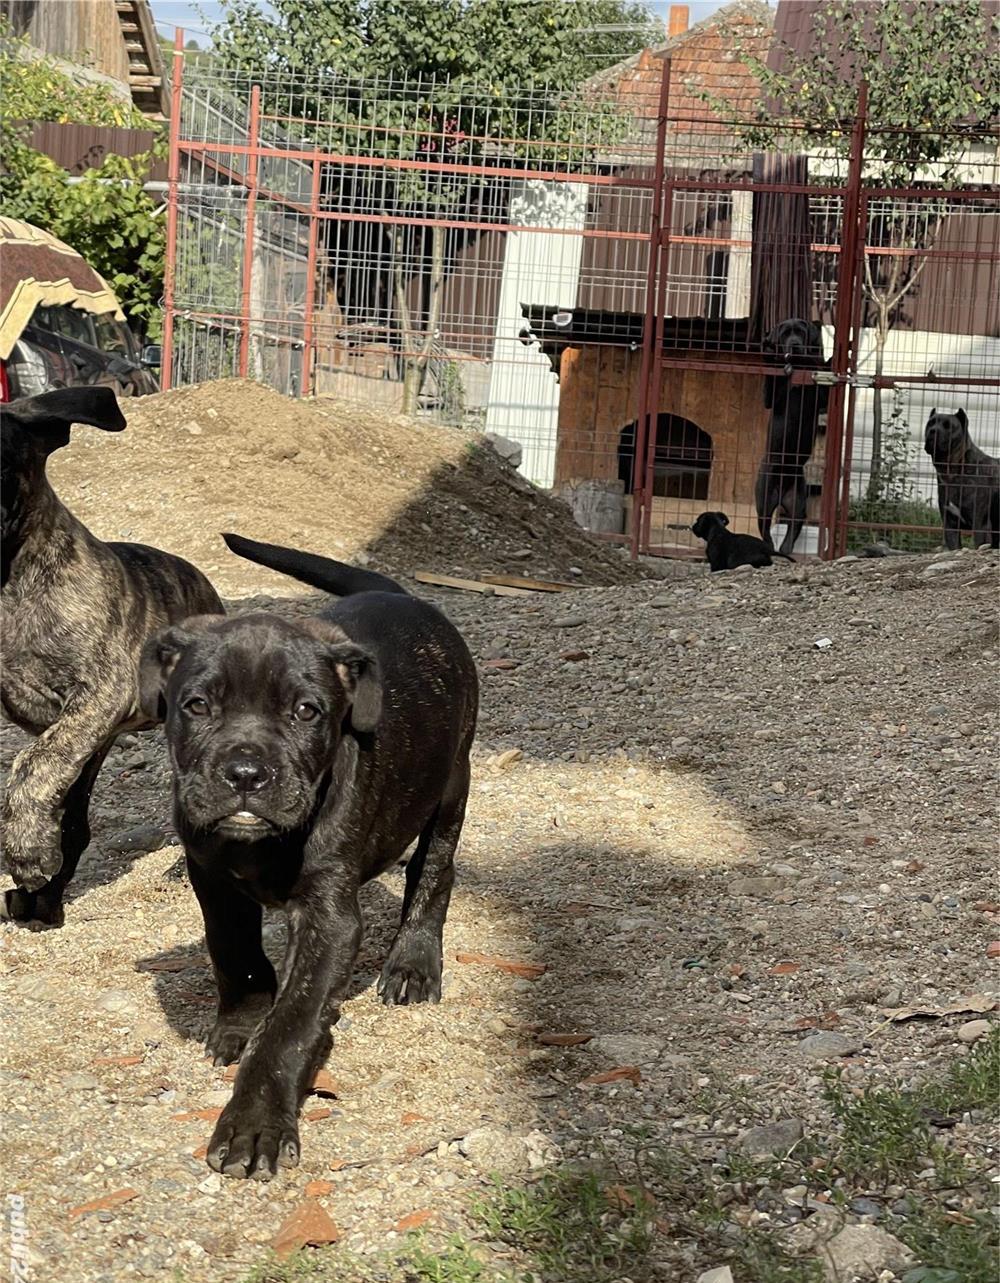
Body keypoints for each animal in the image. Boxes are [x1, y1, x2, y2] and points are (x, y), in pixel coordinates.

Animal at [139, 533, 478, 1179]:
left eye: (306, 711)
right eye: (196, 706)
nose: (246, 773)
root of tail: (402, 596)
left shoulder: (329, 918)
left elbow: (291, 1027)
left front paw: (254, 1124)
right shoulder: (211, 878)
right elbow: (236, 956)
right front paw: (242, 1024)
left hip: (452, 781)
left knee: (434, 870)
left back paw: (413, 964)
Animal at [755, 318, 830, 557]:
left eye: (800, 332)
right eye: (785, 333)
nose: (794, 344)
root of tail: (781, 495)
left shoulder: (821, 399)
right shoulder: (769, 398)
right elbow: (773, 382)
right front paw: (772, 356)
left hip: (799, 502)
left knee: (793, 528)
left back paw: (785, 550)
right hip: (764, 500)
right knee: (765, 529)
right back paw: (771, 547)